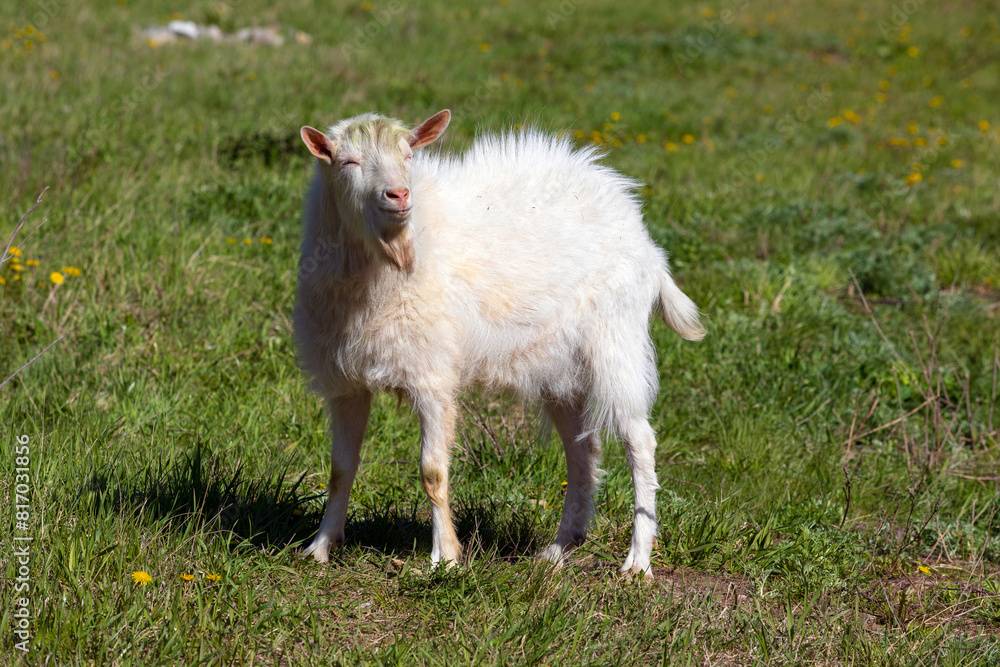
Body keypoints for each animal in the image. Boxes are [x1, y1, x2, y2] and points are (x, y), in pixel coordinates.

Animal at [295, 109, 705, 577]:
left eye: (408, 155)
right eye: (347, 162)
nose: (399, 195)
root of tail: (645, 241)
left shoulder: (432, 374)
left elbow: (433, 472)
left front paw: (445, 558)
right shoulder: (346, 382)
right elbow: (340, 469)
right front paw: (320, 546)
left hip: (616, 343)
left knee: (640, 442)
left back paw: (637, 561)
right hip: (562, 370)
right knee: (582, 452)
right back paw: (558, 549)